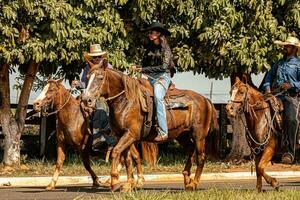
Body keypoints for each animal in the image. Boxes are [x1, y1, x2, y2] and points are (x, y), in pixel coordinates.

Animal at [81, 65, 219, 191]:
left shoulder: (130, 134)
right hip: (182, 135)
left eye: (100, 78)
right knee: (190, 149)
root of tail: (205, 100)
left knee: (201, 157)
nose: (86, 99)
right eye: (87, 77)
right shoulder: (122, 135)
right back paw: (187, 179)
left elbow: (116, 152)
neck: (126, 101)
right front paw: (128, 184)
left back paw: (194, 183)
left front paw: (115, 181)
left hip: (199, 136)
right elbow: (127, 158)